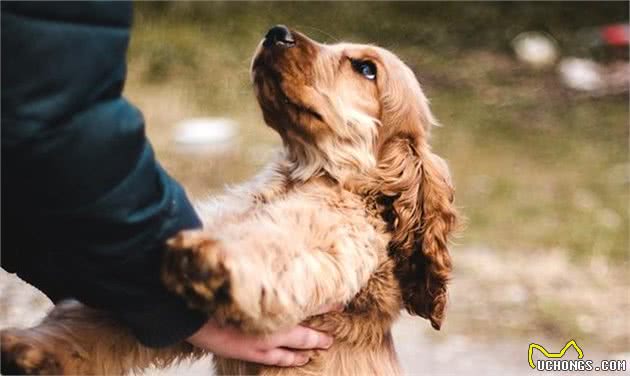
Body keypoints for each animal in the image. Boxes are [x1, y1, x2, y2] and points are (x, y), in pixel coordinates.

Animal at [0, 26, 460, 376]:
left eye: (365, 68)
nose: (276, 32)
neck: (304, 173)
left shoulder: (332, 238)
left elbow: (277, 241)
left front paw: (210, 257)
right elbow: (103, 320)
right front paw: (31, 349)